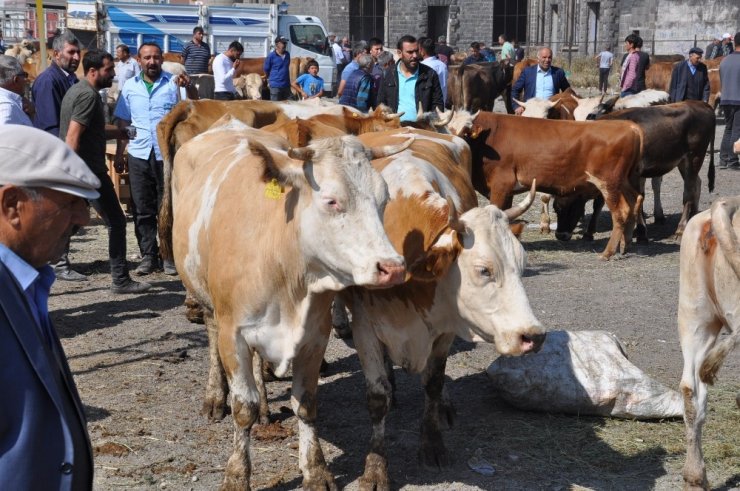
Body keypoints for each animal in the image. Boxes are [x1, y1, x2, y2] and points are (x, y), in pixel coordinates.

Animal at [164, 118, 408, 488]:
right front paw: (237, 475)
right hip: (204, 296)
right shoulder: (233, 334)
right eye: (331, 201)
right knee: (210, 334)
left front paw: (316, 470)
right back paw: (215, 397)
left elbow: (305, 404)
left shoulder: (314, 335)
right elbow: (243, 408)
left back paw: (266, 405)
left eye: (384, 199)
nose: (392, 267)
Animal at [344, 127, 548, 488]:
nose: (533, 336)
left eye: (523, 265)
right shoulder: (364, 327)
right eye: (484, 270)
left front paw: (432, 443)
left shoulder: (443, 329)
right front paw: (375, 468)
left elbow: (434, 382)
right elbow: (378, 398)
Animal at [466, 113, 644, 260]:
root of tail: (630, 127)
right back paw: (625, 245)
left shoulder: (501, 186)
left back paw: (608, 252)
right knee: (635, 201)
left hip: (609, 183)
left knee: (621, 211)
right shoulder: (508, 191)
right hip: (624, 181)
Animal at [556, 101, 720, 243]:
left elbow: (633, 200)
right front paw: (590, 232)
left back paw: (680, 229)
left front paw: (640, 232)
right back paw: (694, 216)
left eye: (568, 204)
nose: (560, 235)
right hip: (683, 162)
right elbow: (601, 202)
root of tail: (701, 104)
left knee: (688, 192)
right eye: (555, 207)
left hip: (694, 157)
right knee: (696, 183)